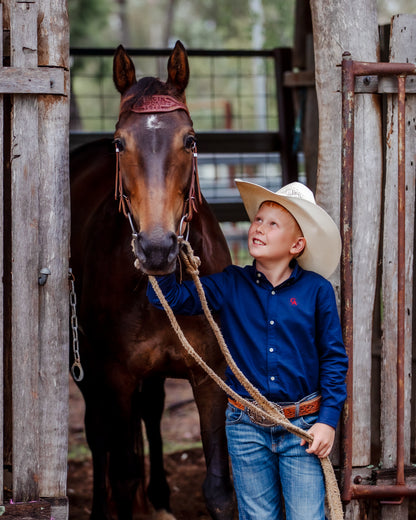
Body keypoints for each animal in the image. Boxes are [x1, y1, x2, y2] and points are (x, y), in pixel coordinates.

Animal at [70, 41, 236, 520]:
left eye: (191, 140)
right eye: (119, 143)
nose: (157, 248)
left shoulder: (210, 374)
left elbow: (218, 487)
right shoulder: (116, 376)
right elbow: (124, 475)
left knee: (152, 410)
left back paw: (159, 495)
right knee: (98, 435)